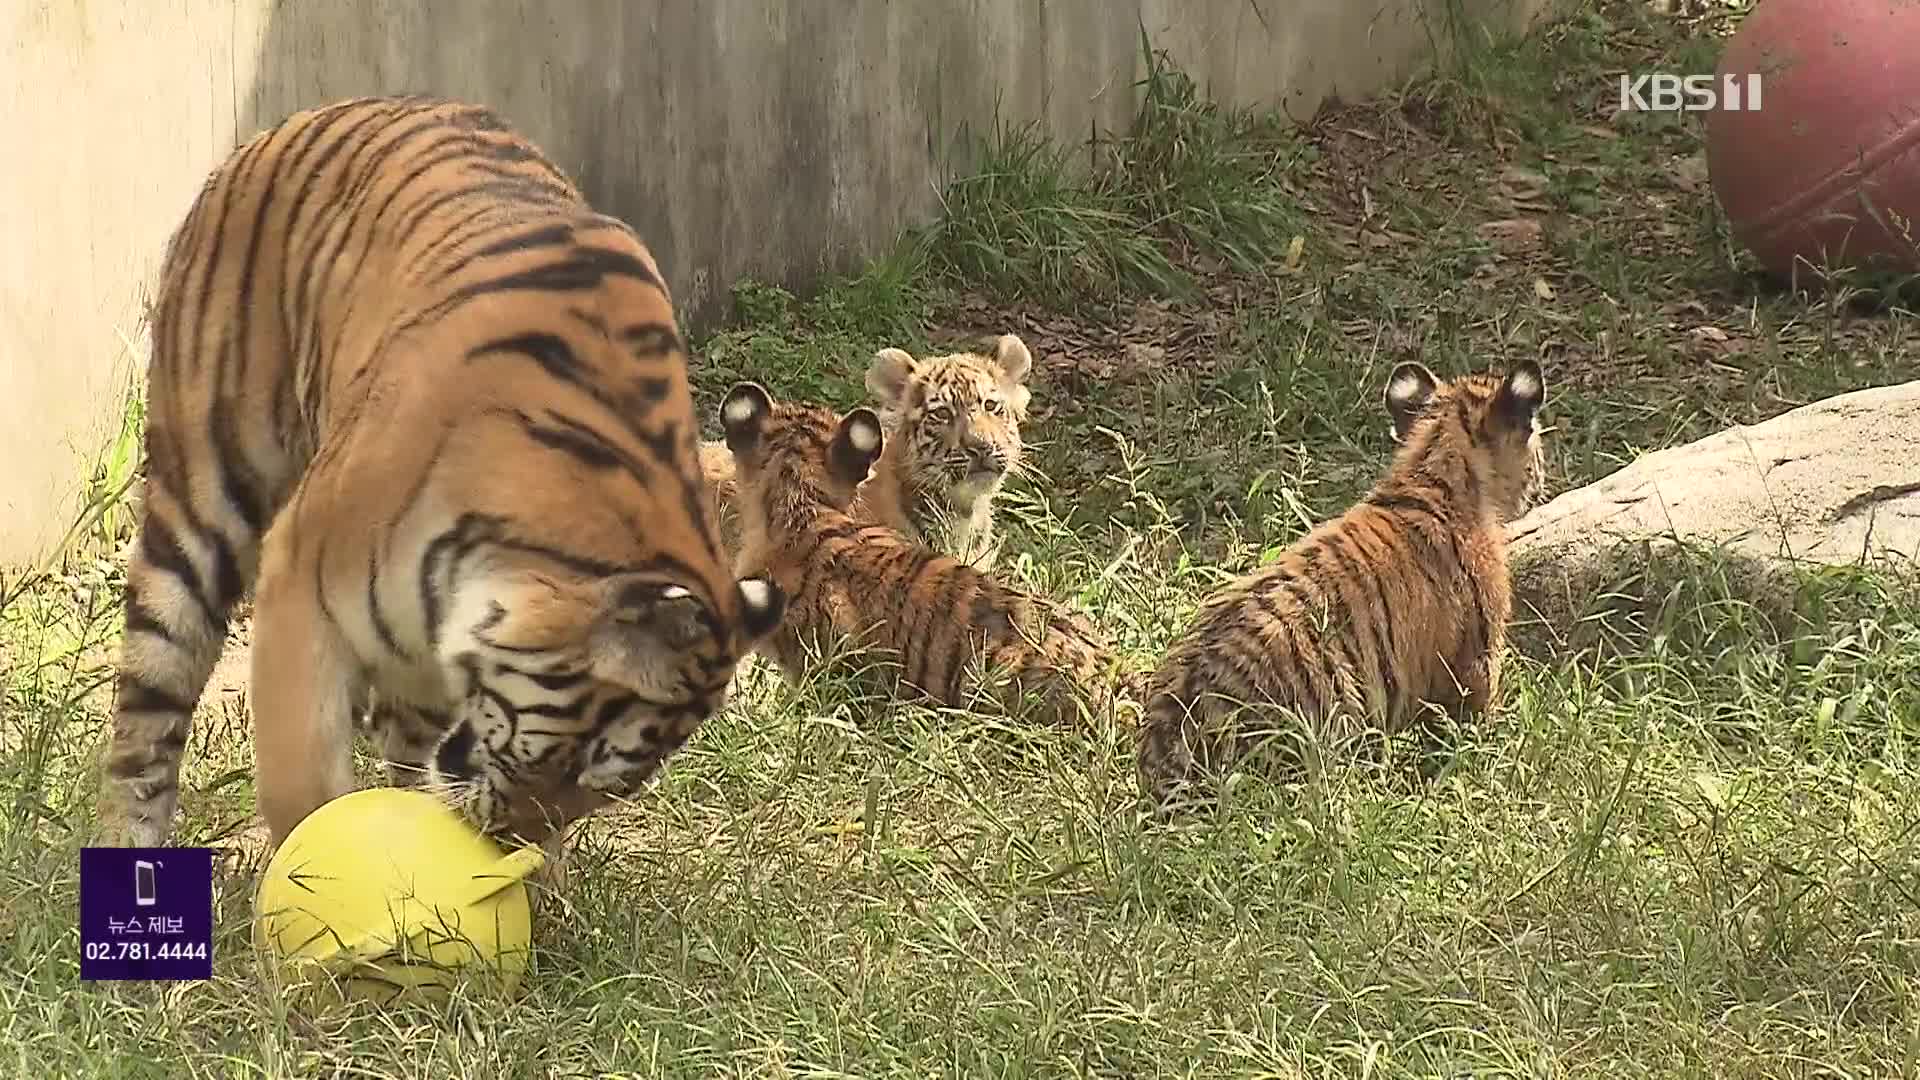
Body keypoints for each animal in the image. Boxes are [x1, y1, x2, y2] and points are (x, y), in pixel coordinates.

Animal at [93, 94, 783, 849]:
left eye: (611, 790)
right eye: (584, 762)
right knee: (150, 705)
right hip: (198, 513)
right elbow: (306, 791)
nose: (514, 841)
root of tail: (295, 121)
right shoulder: (299, 589)